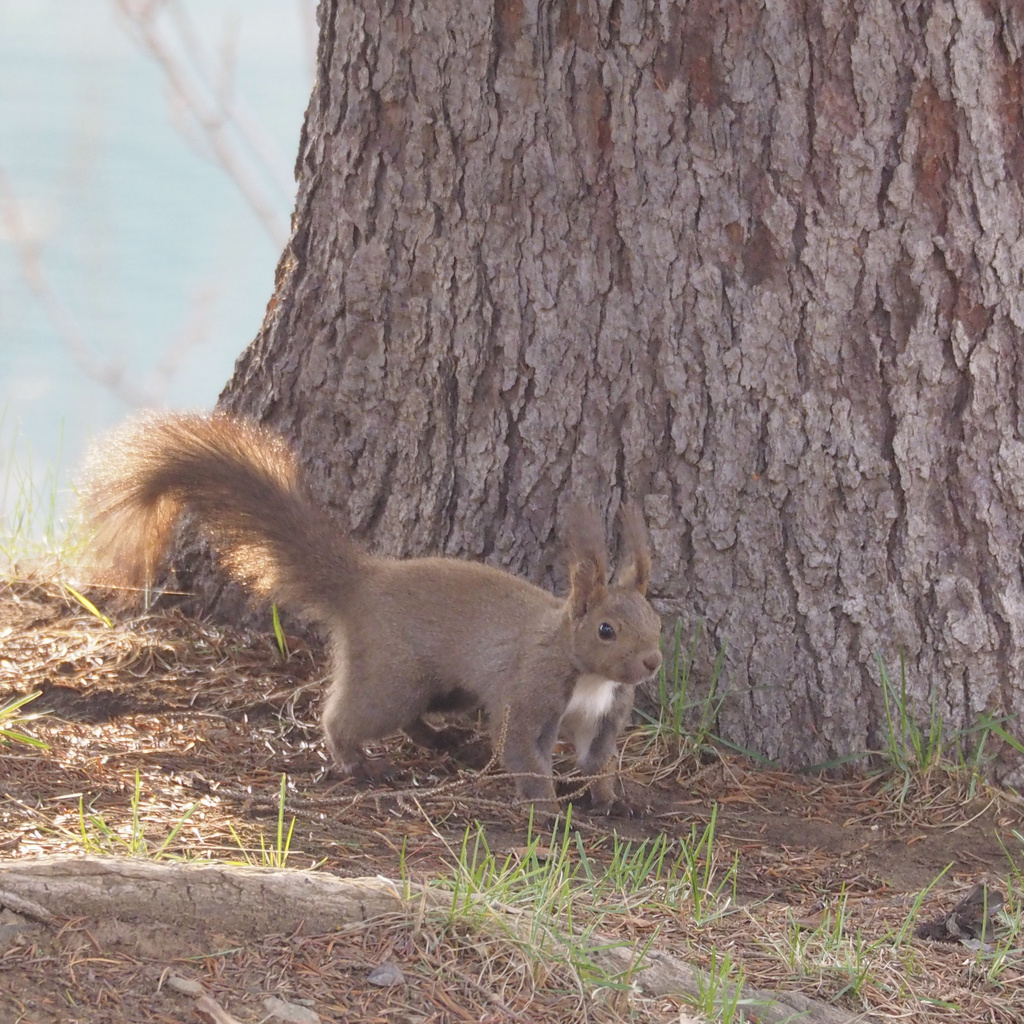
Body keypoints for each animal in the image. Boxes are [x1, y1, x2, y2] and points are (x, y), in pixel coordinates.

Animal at [78, 412, 663, 814]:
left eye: (657, 622)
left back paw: (440, 740)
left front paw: (613, 798)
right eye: (606, 630)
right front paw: (547, 812)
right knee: (348, 717)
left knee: (412, 717)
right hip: (393, 673)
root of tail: (363, 583)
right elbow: (521, 749)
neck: (584, 671)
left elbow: (597, 761)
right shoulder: (531, 691)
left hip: (441, 688)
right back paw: (359, 763)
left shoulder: (603, 715)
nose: (652, 663)